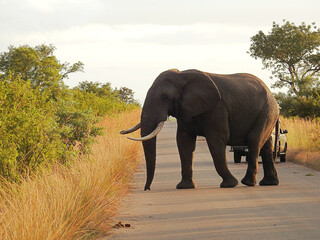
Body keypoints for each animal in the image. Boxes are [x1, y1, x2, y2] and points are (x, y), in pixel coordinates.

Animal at [120, 68, 278, 190]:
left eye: (165, 97)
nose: (147, 188)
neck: (182, 76)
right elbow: (184, 142)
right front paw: (184, 187)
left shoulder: (217, 108)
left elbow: (216, 141)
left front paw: (229, 184)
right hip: (268, 112)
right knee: (266, 146)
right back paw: (269, 183)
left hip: (267, 111)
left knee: (254, 140)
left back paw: (248, 183)